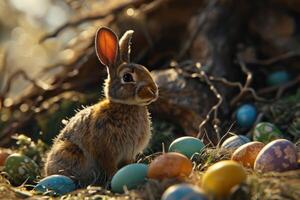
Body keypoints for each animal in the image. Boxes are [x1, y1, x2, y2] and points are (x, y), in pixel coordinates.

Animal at [44, 27, 159, 188]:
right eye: (127, 77)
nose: (154, 91)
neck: (126, 105)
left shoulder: (127, 154)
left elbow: (127, 164)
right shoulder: (105, 152)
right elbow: (110, 167)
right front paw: (112, 179)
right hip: (69, 151)